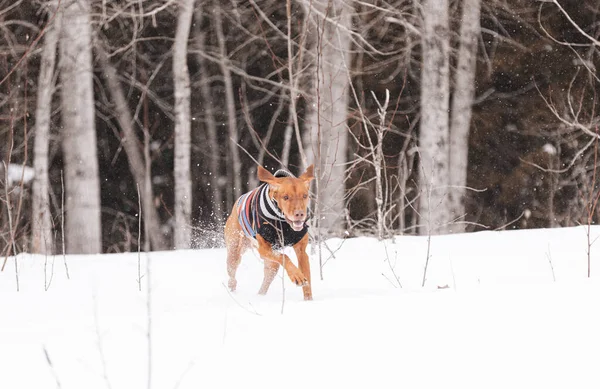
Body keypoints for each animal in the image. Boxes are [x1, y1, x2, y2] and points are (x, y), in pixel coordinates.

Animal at [224, 164, 316, 300]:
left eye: (305, 196)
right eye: (285, 197)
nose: (299, 214)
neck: (282, 221)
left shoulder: (301, 252)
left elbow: (307, 280)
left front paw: (308, 300)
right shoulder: (264, 249)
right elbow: (285, 257)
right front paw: (296, 275)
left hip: (270, 262)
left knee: (270, 271)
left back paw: (260, 295)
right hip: (234, 250)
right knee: (232, 271)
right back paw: (232, 287)